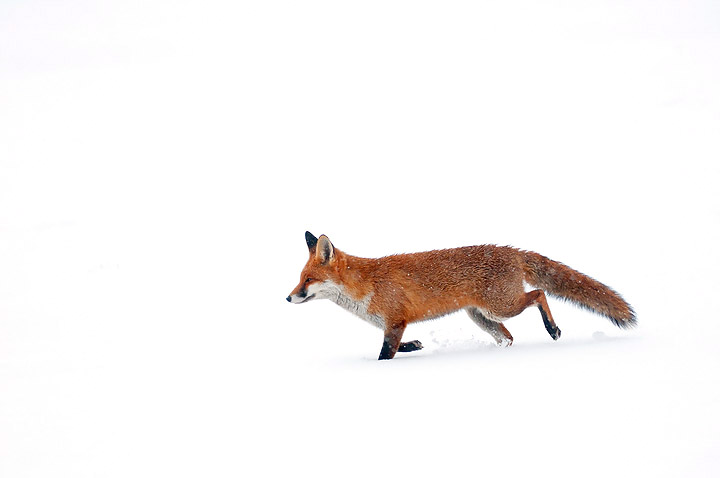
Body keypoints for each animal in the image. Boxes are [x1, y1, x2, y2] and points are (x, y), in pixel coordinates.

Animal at [287, 232, 636, 360]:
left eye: (308, 280)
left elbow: (385, 354)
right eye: (299, 279)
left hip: (502, 306)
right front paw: (416, 346)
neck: (364, 287)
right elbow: (401, 346)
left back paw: (553, 329)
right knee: (508, 337)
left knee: (538, 294)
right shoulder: (394, 325)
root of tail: (512, 251)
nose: (289, 298)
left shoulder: (395, 320)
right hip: (482, 317)